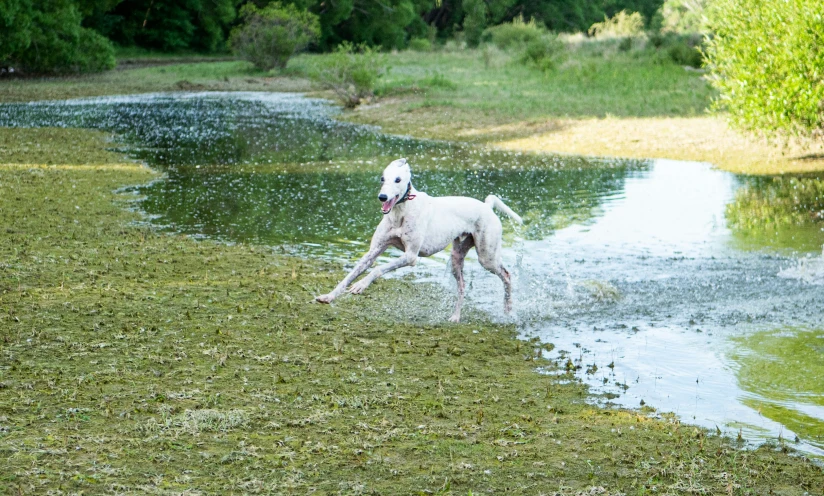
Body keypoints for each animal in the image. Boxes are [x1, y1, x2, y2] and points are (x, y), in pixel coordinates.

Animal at [316, 157, 520, 324]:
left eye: (398, 180)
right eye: (382, 179)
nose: (382, 197)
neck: (402, 211)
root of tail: (487, 206)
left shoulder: (411, 256)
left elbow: (378, 269)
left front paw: (361, 285)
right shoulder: (373, 251)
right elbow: (349, 275)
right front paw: (329, 296)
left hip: (487, 256)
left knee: (507, 275)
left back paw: (508, 310)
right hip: (456, 257)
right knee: (462, 287)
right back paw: (455, 317)